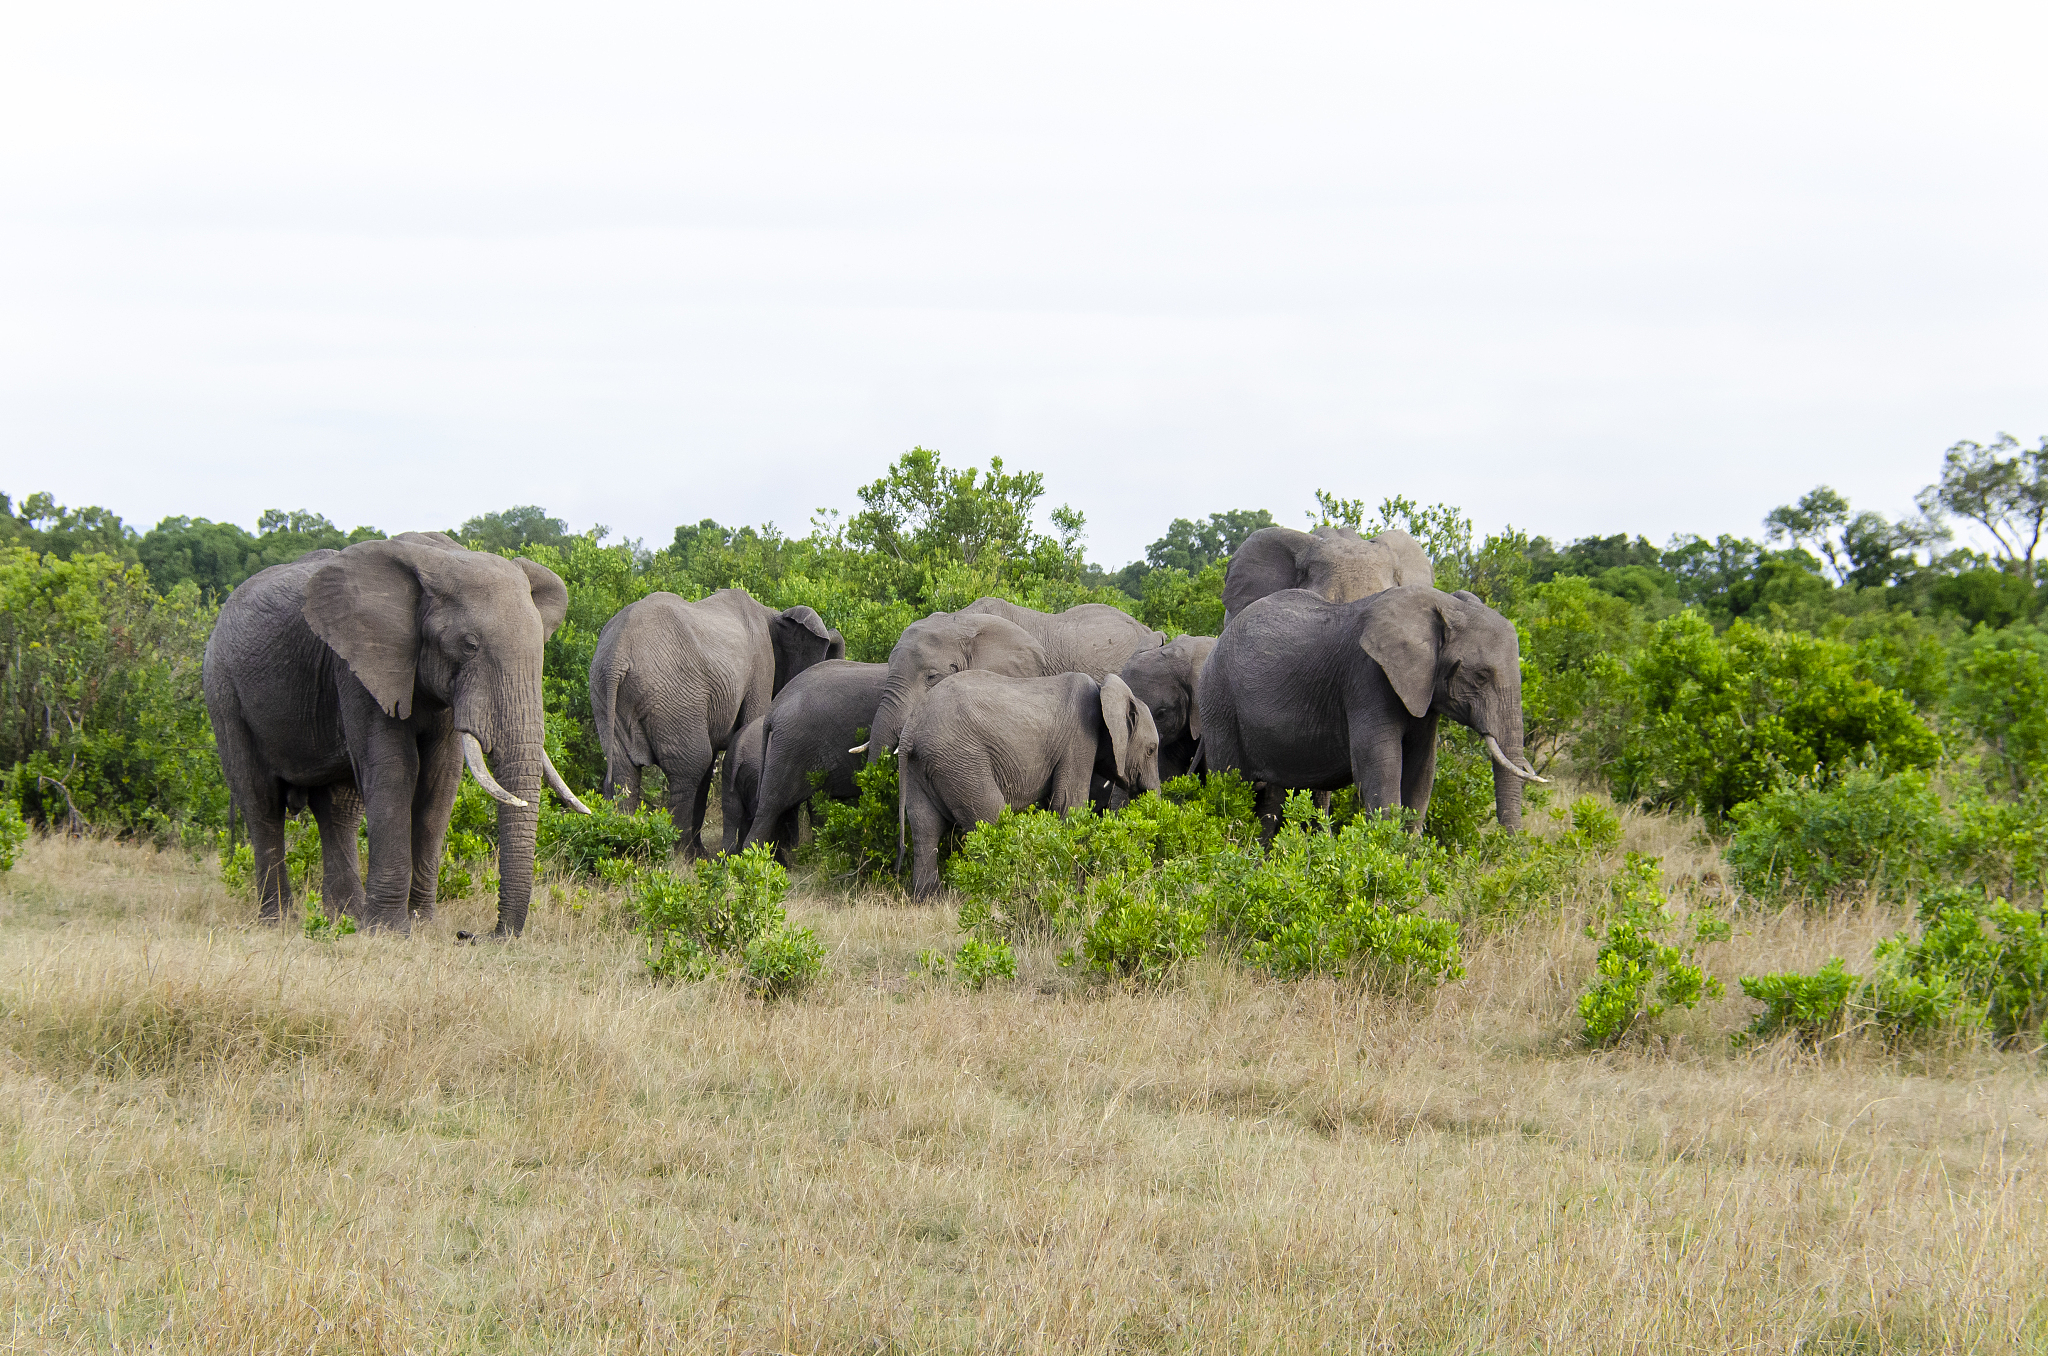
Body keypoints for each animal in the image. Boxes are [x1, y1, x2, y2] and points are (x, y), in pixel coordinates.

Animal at [202, 532, 589, 936]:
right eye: (469, 645)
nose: (475, 935)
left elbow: (440, 781)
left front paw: (420, 925)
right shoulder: (359, 665)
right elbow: (393, 771)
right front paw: (389, 931)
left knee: (338, 807)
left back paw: (345, 918)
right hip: (222, 691)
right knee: (261, 801)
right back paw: (277, 922)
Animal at [590, 588, 843, 858]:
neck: (772, 613)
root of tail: (617, 655)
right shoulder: (761, 666)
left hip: (604, 695)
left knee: (625, 773)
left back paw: (633, 847)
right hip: (674, 695)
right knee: (691, 765)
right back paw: (682, 854)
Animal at [897, 670, 1161, 897]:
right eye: (1151, 750)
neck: (1103, 690)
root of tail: (910, 729)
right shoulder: (1080, 739)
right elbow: (1068, 805)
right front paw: (1071, 888)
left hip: (922, 766)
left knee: (925, 827)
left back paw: (930, 899)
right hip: (961, 761)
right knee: (990, 817)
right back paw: (995, 892)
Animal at [1197, 585, 1544, 834]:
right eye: (1481, 676)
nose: (1508, 848)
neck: (1443, 605)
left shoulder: (1423, 690)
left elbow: (1422, 770)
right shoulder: (1367, 678)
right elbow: (1381, 766)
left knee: (1271, 799)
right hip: (1219, 702)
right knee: (1232, 786)